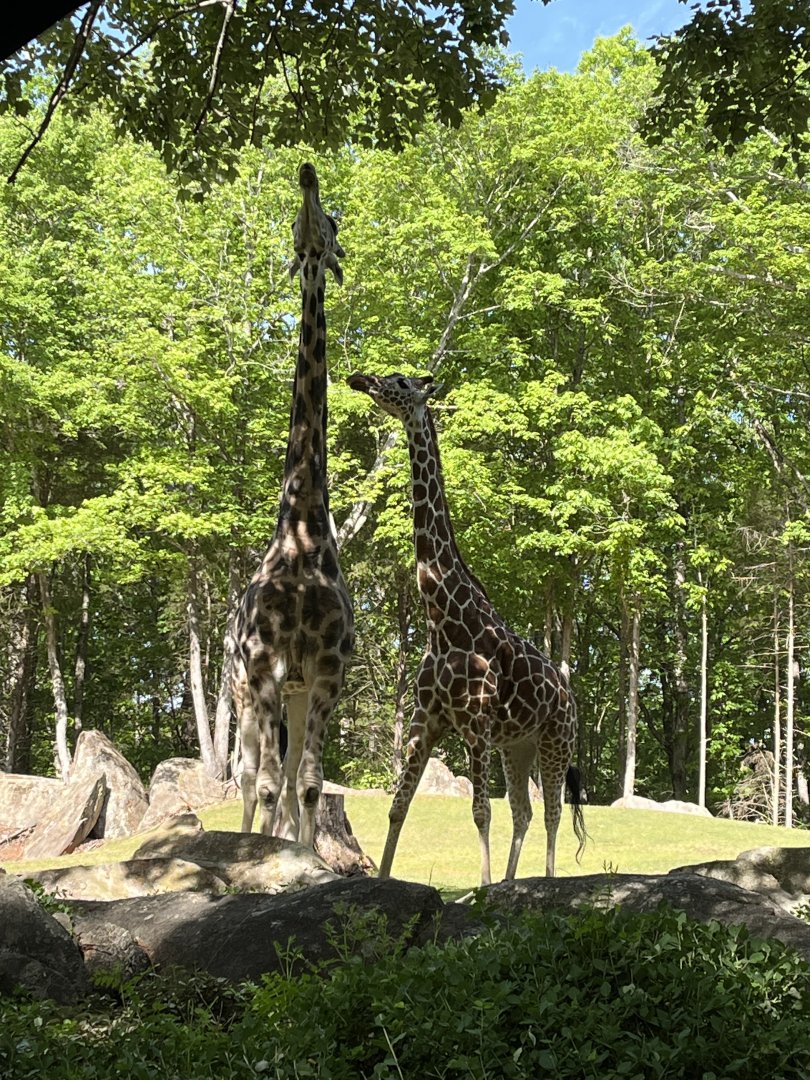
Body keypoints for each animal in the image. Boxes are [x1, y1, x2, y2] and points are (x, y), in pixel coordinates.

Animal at [347, 372, 585, 884]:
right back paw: (512, 881)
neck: (441, 619)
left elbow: (480, 811)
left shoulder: (475, 724)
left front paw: (481, 887)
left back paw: (546, 881)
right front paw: (382, 881)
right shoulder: (426, 720)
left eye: (400, 382)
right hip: (518, 745)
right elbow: (398, 807)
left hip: (557, 738)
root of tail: (569, 695)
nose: (361, 379)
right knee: (525, 811)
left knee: (553, 811)